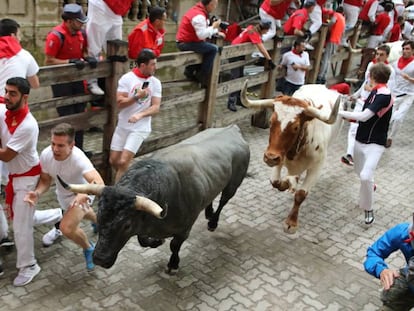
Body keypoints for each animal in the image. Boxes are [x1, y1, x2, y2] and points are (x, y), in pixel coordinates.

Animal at [239, 80, 342, 234]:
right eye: (271, 122)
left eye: (295, 127)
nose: (269, 158)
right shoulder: (279, 156)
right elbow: (275, 182)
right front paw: (286, 183)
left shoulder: (317, 166)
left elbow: (301, 194)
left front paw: (291, 222)